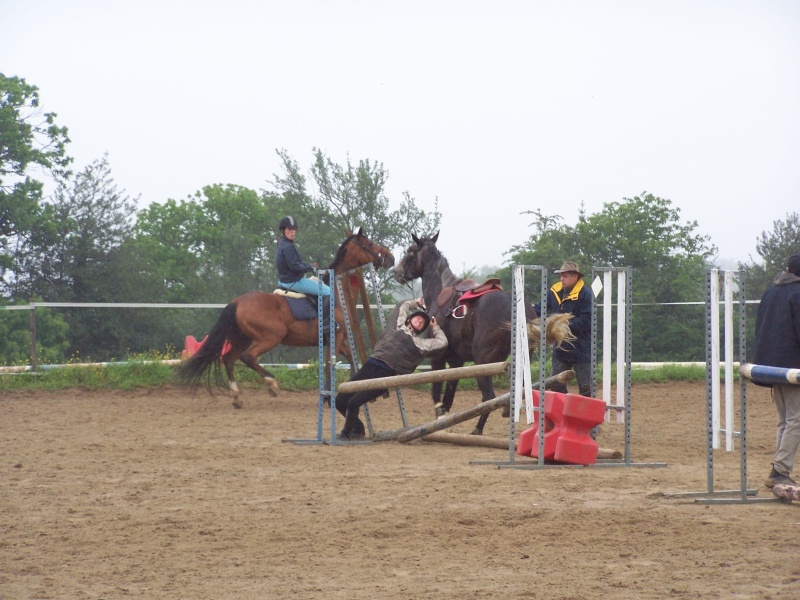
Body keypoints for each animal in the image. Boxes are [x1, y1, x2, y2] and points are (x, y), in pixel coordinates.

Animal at [180, 230, 396, 408]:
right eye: (369, 244)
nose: (390, 258)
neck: (336, 292)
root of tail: (237, 301)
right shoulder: (336, 337)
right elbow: (330, 364)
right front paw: (328, 397)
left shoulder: (336, 339)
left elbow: (347, 358)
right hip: (270, 338)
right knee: (247, 357)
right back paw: (272, 384)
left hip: (242, 339)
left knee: (229, 359)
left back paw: (237, 397)